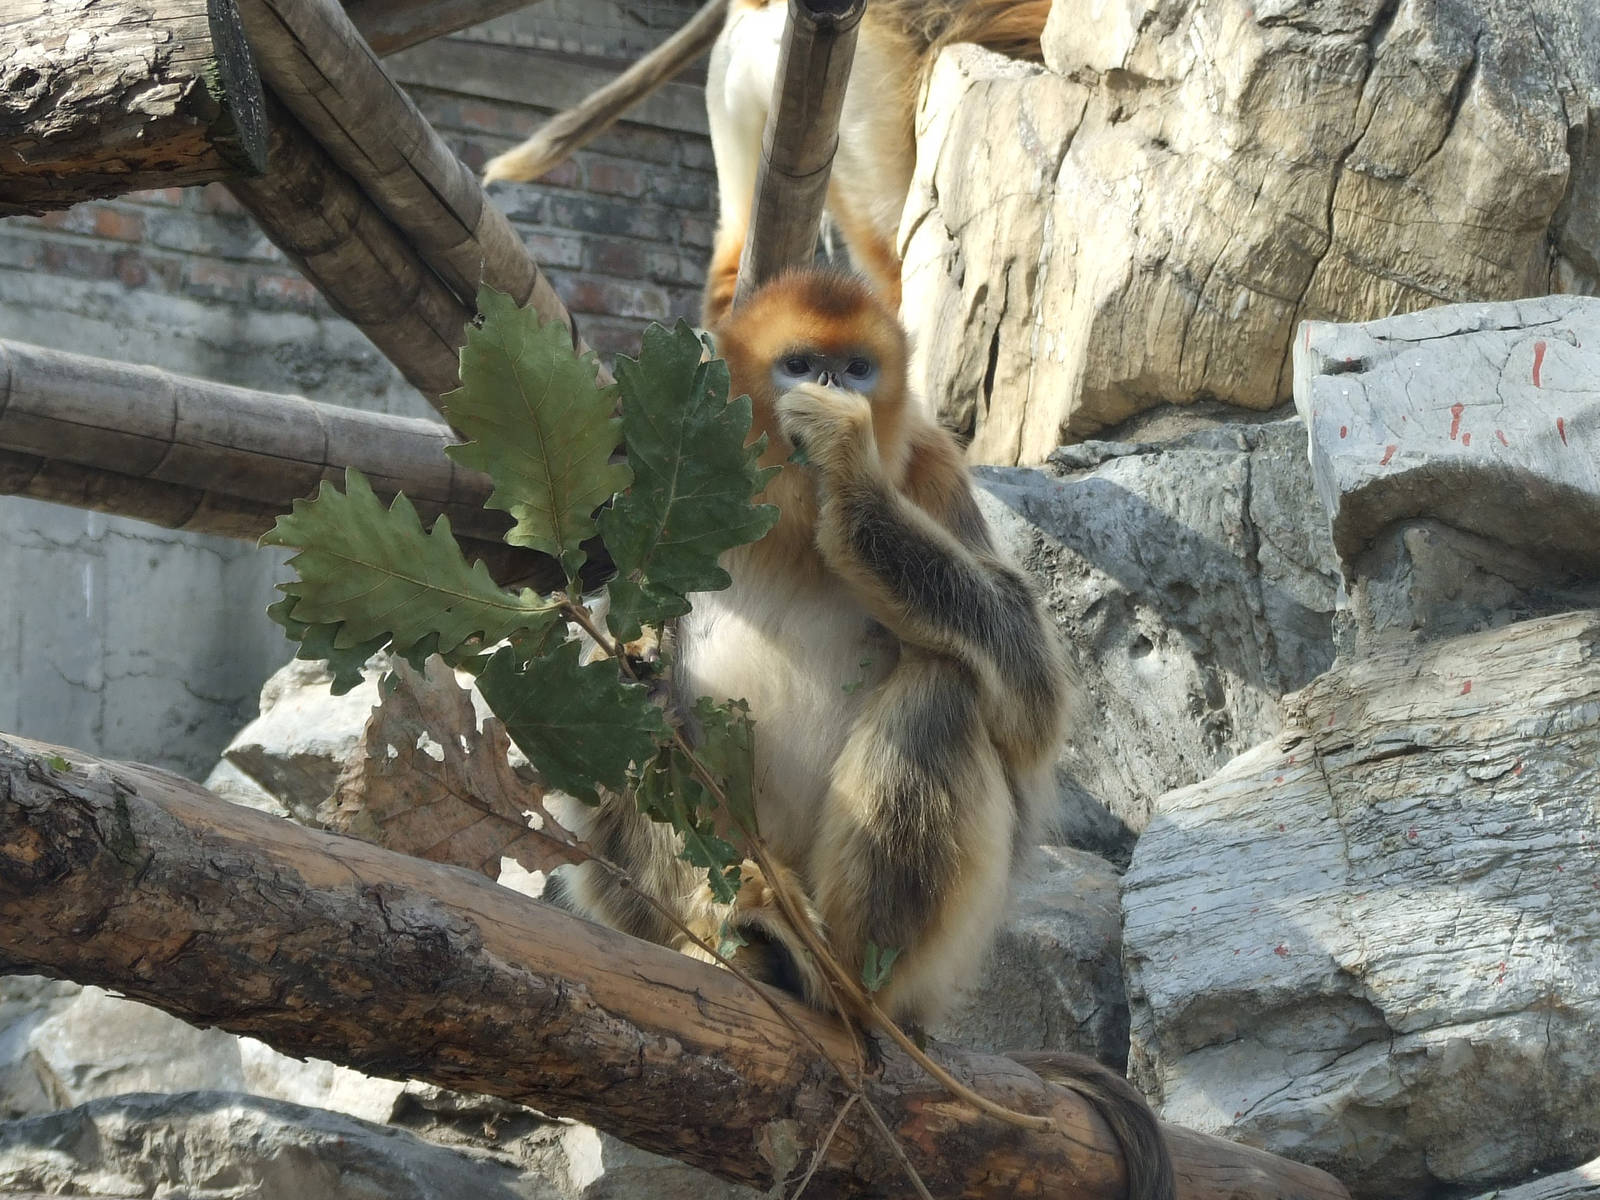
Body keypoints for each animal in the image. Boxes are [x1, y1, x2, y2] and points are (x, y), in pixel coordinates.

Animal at [548, 266, 1175, 1199]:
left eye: (854, 367)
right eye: (798, 362)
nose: (828, 388)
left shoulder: (936, 470)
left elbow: (1030, 702)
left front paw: (848, 480)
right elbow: (616, 666)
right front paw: (626, 661)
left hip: (932, 957)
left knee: (946, 687)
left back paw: (834, 978)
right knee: (640, 739)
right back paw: (736, 935)